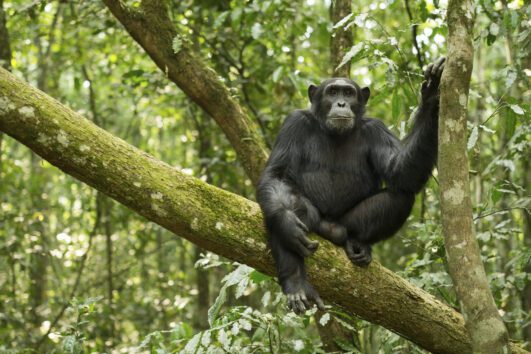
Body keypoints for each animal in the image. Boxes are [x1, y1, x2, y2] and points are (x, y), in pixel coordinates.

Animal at [256, 57, 446, 312]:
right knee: (290, 203)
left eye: (348, 92)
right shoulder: (294, 124)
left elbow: (400, 172)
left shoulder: (376, 129)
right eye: (332, 91)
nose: (341, 103)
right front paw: (287, 223)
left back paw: (357, 243)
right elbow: (277, 175)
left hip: (347, 224)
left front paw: (432, 94)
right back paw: (296, 283)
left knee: (401, 195)